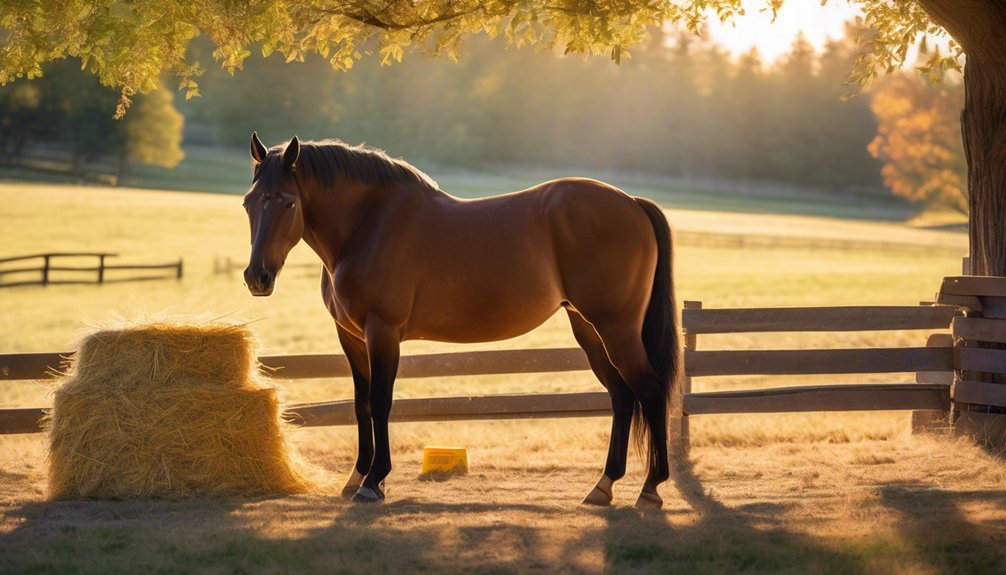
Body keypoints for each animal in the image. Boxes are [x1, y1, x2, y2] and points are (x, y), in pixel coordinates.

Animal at [243, 131, 684, 506]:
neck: (368, 224)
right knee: (622, 396)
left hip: (616, 328)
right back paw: (603, 486)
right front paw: (356, 477)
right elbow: (361, 405)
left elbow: (381, 402)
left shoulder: (382, 331)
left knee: (648, 389)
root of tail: (632, 203)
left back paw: (650, 487)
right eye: (249, 202)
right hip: (589, 330)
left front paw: (374, 481)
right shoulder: (350, 337)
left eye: (288, 202)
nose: (257, 277)